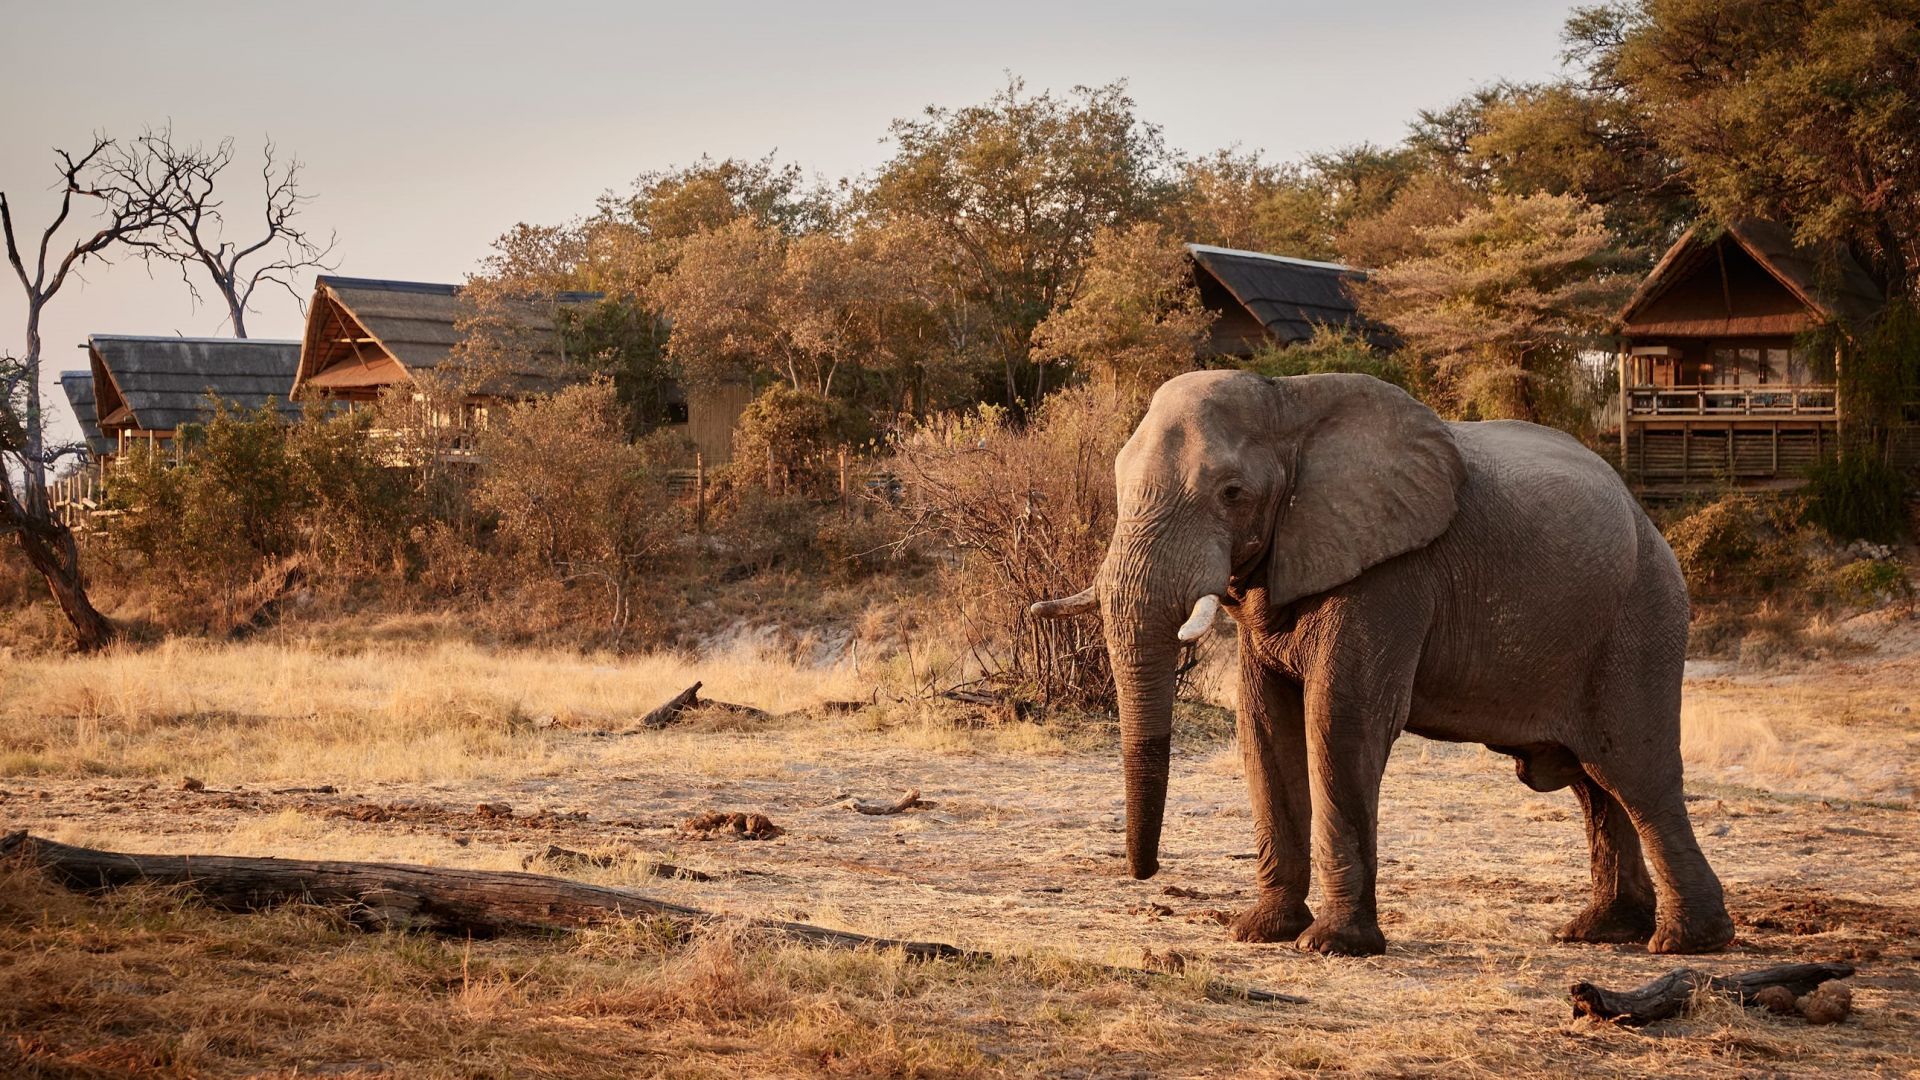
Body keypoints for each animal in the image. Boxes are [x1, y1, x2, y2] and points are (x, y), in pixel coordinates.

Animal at [1031, 369, 1735, 956]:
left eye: (1232, 493)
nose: (1145, 872)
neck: (1290, 403)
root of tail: (1648, 522)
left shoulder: (1393, 573)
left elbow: (1341, 722)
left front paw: (1332, 946)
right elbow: (1263, 727)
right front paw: (1260, 932)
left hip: (1641, 618)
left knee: (1635, 773)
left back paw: (1683, 944)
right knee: (1595, 783)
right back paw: (1600, 932)